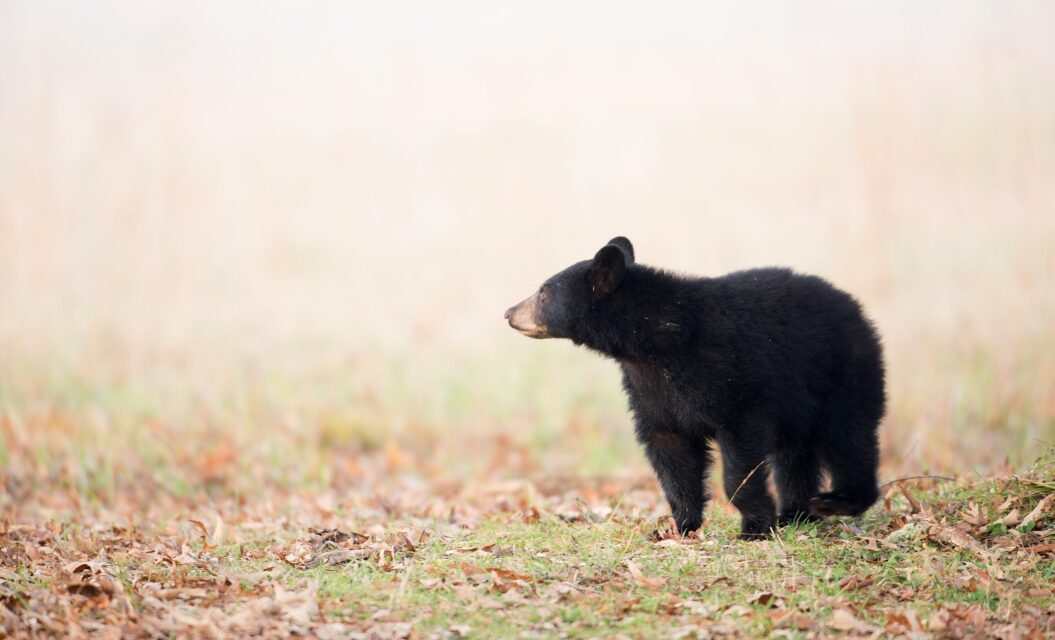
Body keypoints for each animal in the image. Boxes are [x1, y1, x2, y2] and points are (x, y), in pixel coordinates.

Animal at [506, 238, 886, 537]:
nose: (509, 312)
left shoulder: (729, 375)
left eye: (543, 292)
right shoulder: (649, 388)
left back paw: (837, 501)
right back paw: (796, 513)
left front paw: (755, 527)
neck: (656, 341)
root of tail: (856, 308)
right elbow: (670, 449)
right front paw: (680, 526)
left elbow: (740, 452)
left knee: (849, 437)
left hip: (845, 374)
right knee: (796, 454)